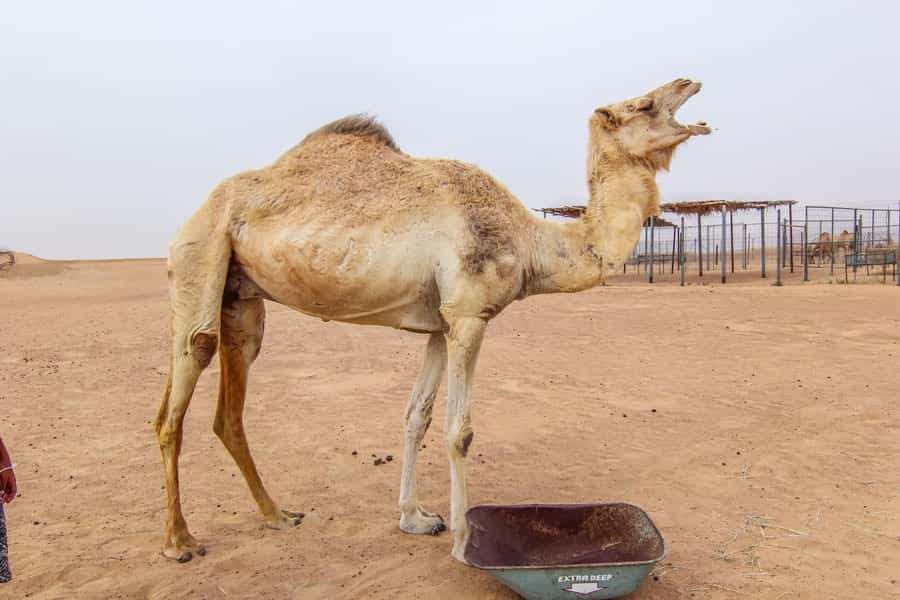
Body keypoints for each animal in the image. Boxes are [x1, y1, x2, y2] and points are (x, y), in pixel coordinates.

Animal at [154, 78, 712, 563]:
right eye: (641, 104)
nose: (690, 83)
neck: (532, 241)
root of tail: (195, 214)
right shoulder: (468, 316)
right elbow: (458, 430)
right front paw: (465, 542)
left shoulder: (441, 327)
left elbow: (415, 416)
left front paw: (416, 518)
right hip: (200, 255)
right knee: (184, 379)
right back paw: (180, 541)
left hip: (241, 297)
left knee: (229, 406)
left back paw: (277, 514)